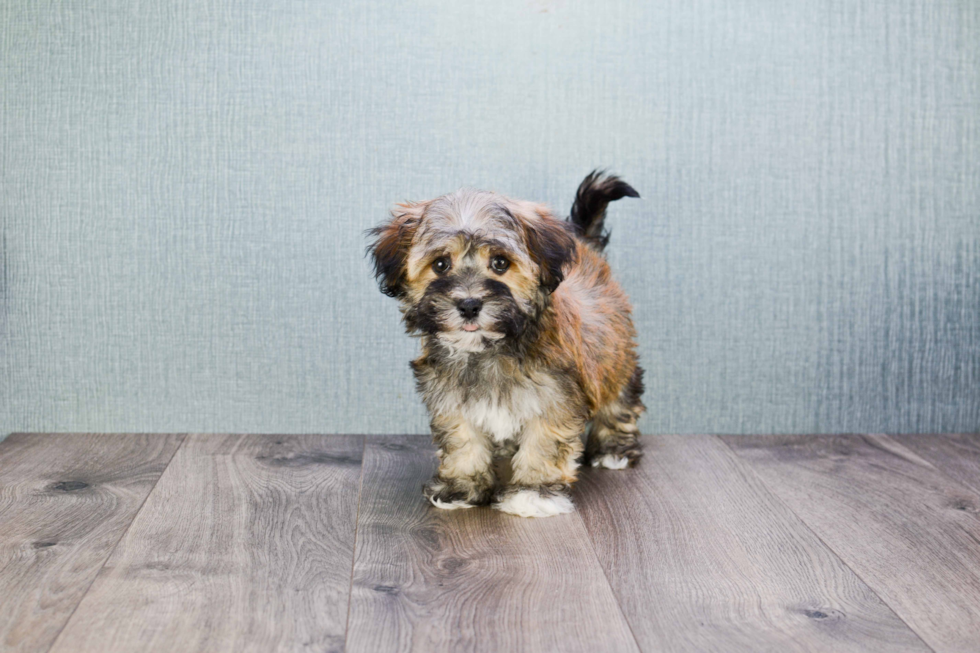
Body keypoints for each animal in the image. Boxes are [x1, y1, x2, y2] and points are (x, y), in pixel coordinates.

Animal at [368, 171, 644, 516]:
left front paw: (533, 493)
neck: (488, 348)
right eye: (441, 264)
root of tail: (586, 248)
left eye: (500, 263)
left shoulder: (554, 399)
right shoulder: (451, 399)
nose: (469, 304)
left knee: (619, 399)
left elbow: (543, 444)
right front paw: (461, 487)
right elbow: (463, 441)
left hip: (613, 353)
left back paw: (613, 448)